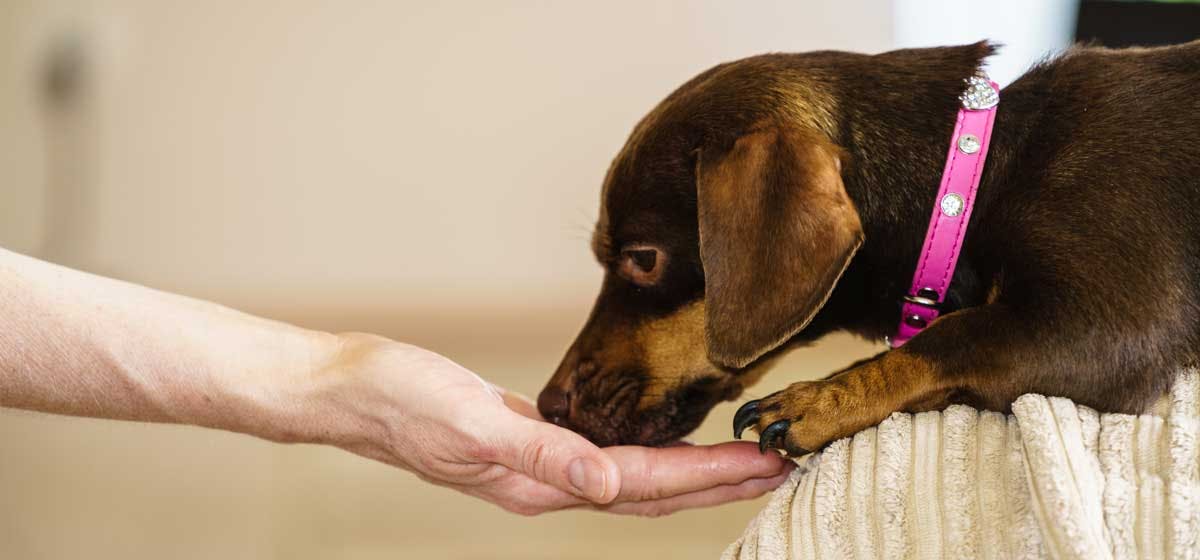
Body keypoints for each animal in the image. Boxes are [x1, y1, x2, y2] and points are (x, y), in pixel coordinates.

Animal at [537, 42, 1200, 455]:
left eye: (642, 259)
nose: (548, 406)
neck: (980, 173)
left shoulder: (1110, 327)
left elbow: (948, 339)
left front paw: (820, 399)